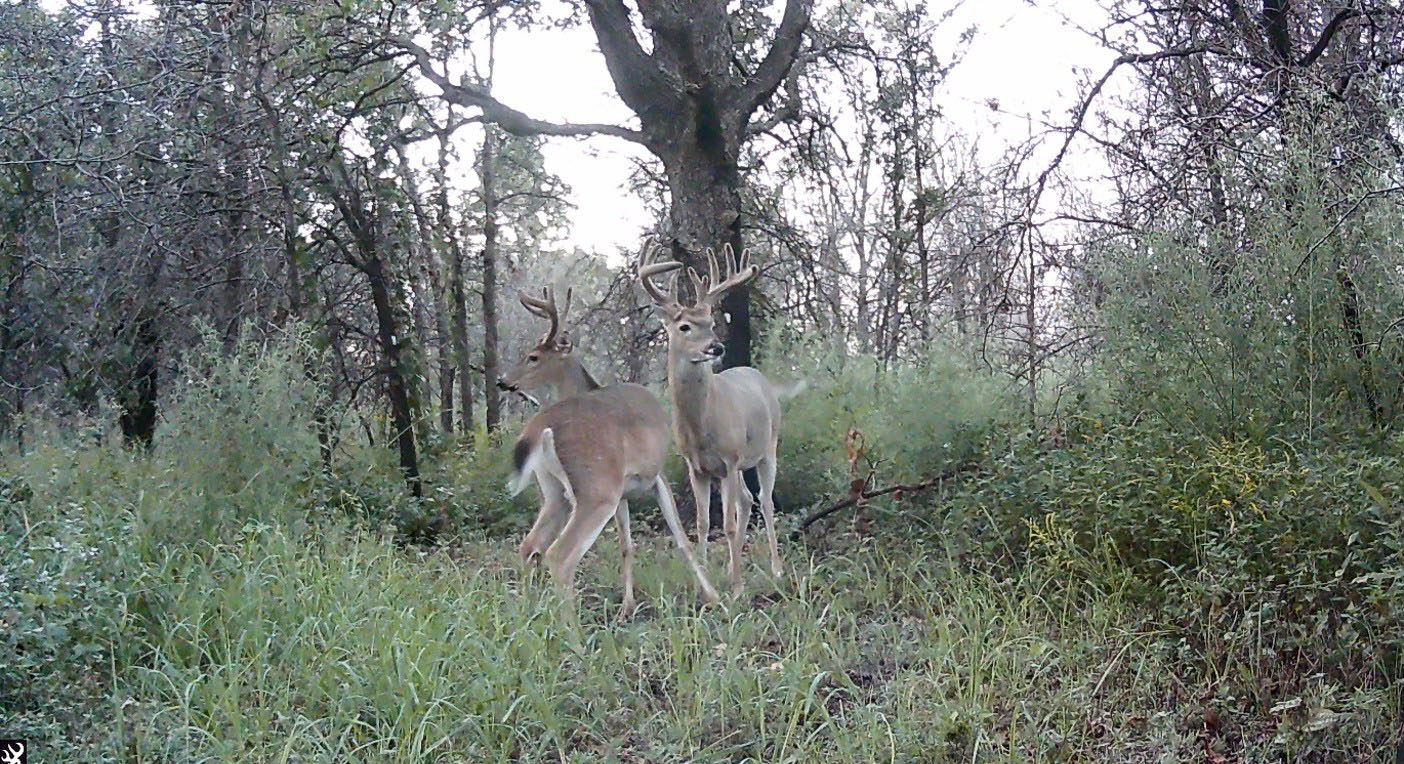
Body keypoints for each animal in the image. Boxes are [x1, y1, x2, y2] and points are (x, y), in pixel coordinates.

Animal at [501, 285, 719, 618]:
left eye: (533, 356)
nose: (503, 381)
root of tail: (540, 427)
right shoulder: (655, 473)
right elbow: (680, 537)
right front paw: (713, 595)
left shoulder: (630, 488)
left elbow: (627, 544)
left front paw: (628, 605)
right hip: (596, 488)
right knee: (558, 555)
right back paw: (570, 630)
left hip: (555, 491)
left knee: (530, 545)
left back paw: (530, 617)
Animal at [637, 244, 804, 595]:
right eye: (685, 326)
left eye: (711, 323)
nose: (716, 347)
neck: (701, 426)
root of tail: (758, 375)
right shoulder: (697, 467)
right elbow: (702, 523)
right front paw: (704, 580)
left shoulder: (728, 458)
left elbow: (725, 524)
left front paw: (738, 587)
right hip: (740, 464)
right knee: (746, 500)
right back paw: (730, 566)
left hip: (767, 448)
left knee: (764, 502)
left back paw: (775, 568)